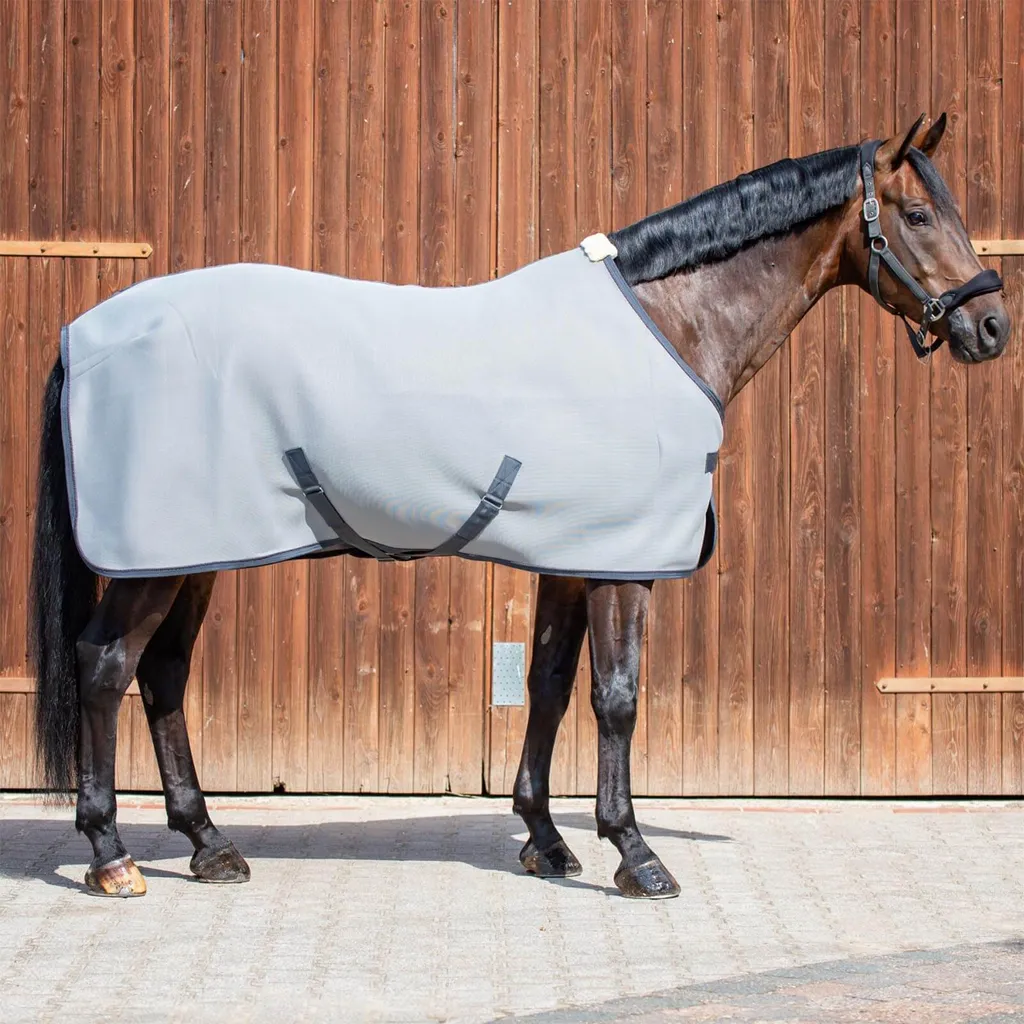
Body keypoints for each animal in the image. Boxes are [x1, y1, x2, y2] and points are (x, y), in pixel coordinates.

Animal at [30, 113, 1010, 899]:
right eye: (918, 216)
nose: (991, 327)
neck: (667, 323)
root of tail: (85, 332)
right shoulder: (621, 566)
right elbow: (615, 698)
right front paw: (636, 855)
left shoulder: (571, 559)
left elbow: (546, 686)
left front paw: (546, 840)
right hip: (157, 562)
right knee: (107, 667)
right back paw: (112, 855)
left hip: (193, 555)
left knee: (162, 676)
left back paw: (208, 844)